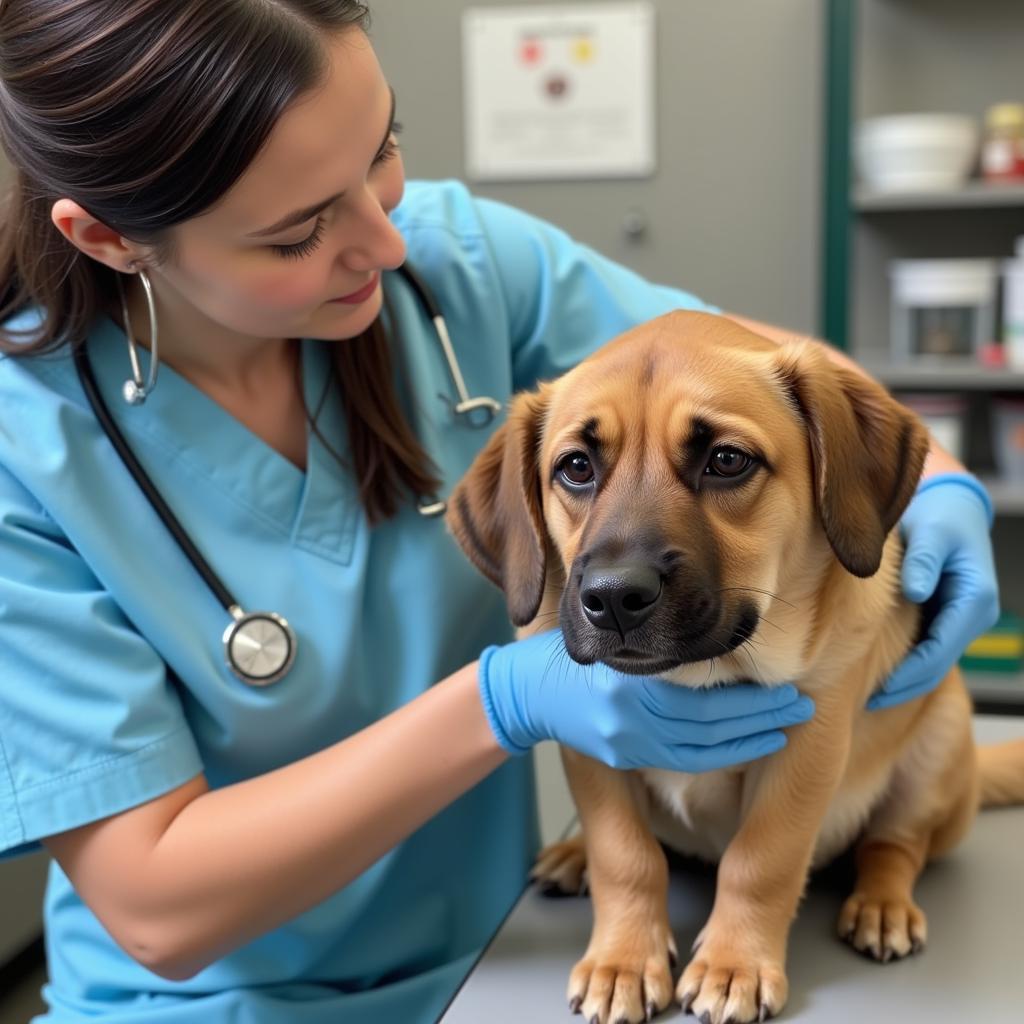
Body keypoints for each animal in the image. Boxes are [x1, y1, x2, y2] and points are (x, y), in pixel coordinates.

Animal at [446, 311, 1024, 1024]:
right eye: (575, 467)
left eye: (726, 460)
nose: (613, 598)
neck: (698, 678)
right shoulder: (591, 747)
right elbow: (624, 856)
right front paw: (622, 959)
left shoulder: (807, 752)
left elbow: (760, 861)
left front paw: (733, 964)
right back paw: (573, 855)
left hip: (938, 741)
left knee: (895, 844)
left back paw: (882, 904)